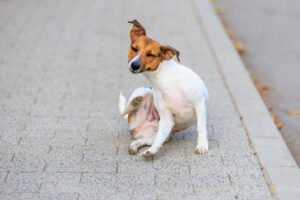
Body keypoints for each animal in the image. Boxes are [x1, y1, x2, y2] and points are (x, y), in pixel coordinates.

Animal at [119, 19, 209, 158]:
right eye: (134, 48)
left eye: (150, 54)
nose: (134, 65)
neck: (163, 79)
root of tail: (138, 127)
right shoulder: (166, 118)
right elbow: (157, 142)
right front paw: (151, 151)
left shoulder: (199, 105)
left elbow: (201, 128)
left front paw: (202, 145)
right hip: (144, 91)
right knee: (124, 111)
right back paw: (135, 102)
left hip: (155, 133)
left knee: (144, 140)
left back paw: (135, 146)